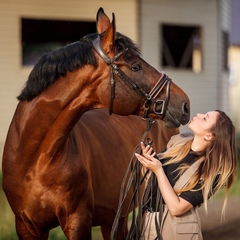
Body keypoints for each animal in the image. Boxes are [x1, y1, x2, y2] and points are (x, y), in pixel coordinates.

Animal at [1, 7, 189, 240]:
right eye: (136, 67)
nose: (185, 104)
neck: (36, 159)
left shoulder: (78, 221)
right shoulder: (26, 226)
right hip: (114, 218)